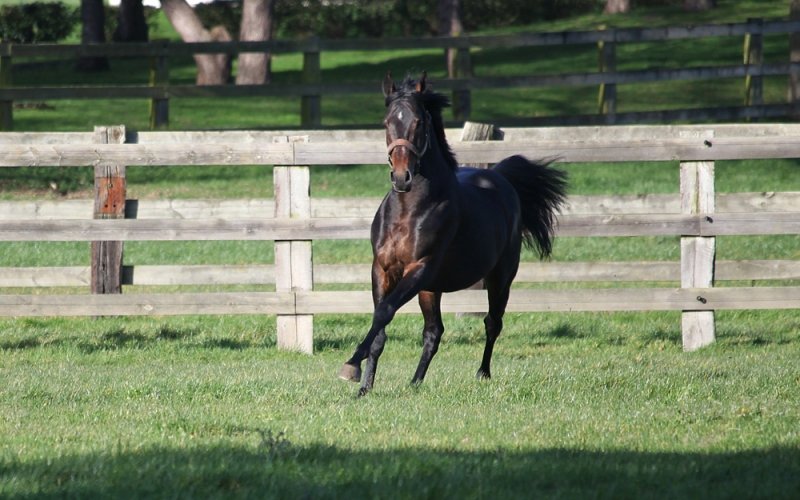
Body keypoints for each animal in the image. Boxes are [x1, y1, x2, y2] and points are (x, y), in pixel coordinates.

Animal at [338, 72, 568, 396]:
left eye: (419, 122)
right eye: (386, 122)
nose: (401, 177)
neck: (408, 212)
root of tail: (500, 177)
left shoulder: (420, 267)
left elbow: (384, 312)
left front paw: (350, 367)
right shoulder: (382, 268)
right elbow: (381, 325)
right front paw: (364, 388)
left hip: (500, 278)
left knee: (492, 323)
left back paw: (482, 373)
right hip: (430, 288)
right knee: (434, 332)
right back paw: (415, 383)